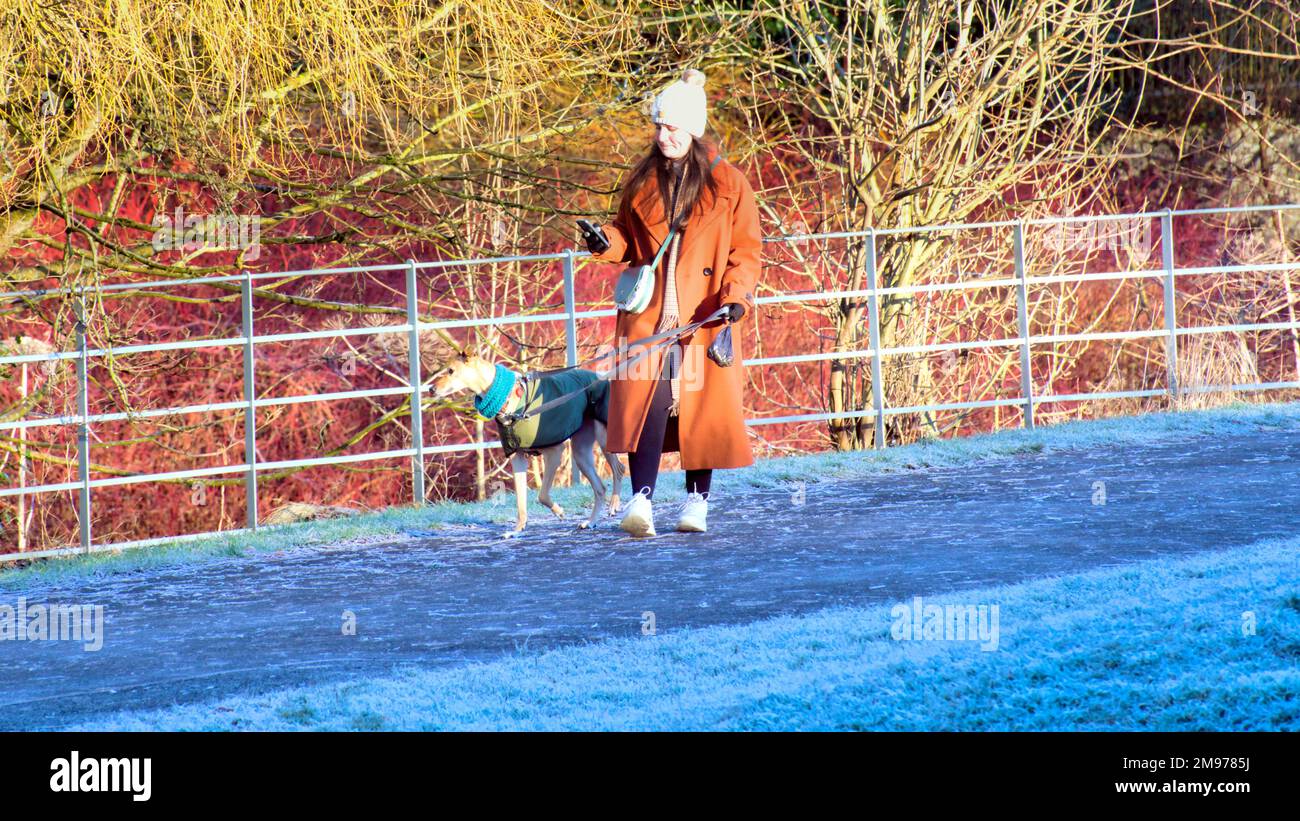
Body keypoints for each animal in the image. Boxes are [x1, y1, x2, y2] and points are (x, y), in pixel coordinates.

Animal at [431, 350, 624, 535]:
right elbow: (520, 501)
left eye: (451, 371)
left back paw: (614, 504)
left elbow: (542, 495)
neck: (509, 401)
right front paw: (517, 530)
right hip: (581, 453)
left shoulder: (554, 451)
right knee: (600, 487)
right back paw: (591, 522)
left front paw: (559, 511)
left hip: (605, 438)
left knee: (619, 468)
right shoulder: (517, 457)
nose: (432, 389)